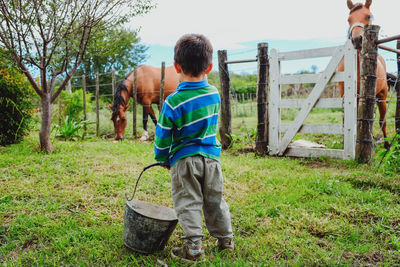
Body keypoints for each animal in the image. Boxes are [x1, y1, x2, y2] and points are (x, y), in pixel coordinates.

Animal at [340, 0, 390, 150]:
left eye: (368, 16)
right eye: (348, 19)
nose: (357, 39)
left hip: (381, 97)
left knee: (382, 121)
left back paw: (385, 143)